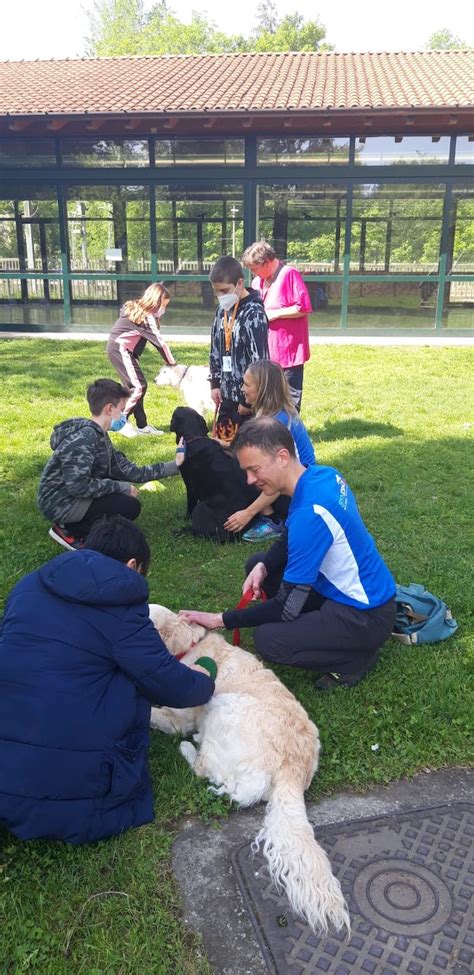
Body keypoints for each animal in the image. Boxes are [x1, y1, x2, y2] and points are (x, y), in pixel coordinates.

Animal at [150, 604, 350, 936]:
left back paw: (190, 747)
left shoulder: (179, 716)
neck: (188, 646)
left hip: (224, 705)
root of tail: (292, 769)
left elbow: (154, 713)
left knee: (207, 770)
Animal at [170, 404, 260, 540]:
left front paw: (185, 518)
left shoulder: (191, 487)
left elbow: (189, 506)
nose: (177, 406)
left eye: (175, 414)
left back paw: (181, 531)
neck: (194, 437)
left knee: (197, 531)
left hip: (201, 507)